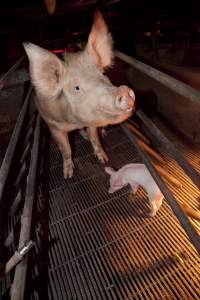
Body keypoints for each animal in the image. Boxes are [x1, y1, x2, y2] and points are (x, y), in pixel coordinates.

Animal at [23, 10, 136, 177]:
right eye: (76, 88)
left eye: (102, 74)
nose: (124, 90)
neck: (74, 122)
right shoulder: (52, 124)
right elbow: (65, 149)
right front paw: (68, 175)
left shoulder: (91, 122)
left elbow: (95, 139)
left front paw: (104, 160)